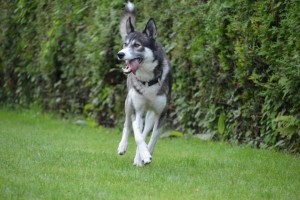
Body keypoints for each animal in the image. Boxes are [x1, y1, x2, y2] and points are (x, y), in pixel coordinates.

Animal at [118, 2, 173, 166]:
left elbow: (152, 138)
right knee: (127, 125)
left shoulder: (161, 114)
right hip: (129, 102)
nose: (120, 54)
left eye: (137, 45)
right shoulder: (137, 110)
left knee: (145, 130)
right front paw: (143, 154)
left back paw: (139, 158)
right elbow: (137, 134)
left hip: (150, 113)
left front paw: (145, 155)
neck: (148, 80)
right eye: (125, 44)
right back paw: (123, 147)